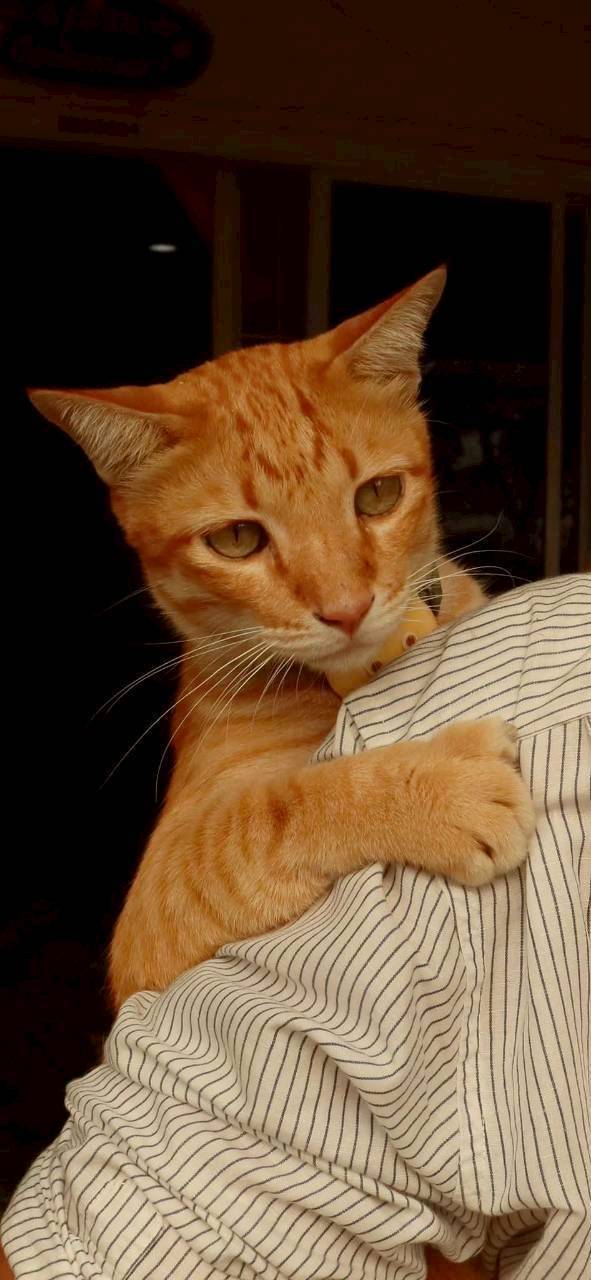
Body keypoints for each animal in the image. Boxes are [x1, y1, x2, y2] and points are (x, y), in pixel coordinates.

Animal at [30, 267, 534, 1011]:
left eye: (378, 496)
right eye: (238, 539)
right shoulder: (156, 912)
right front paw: (443, 786)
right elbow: (279, 807)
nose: (347, 609)